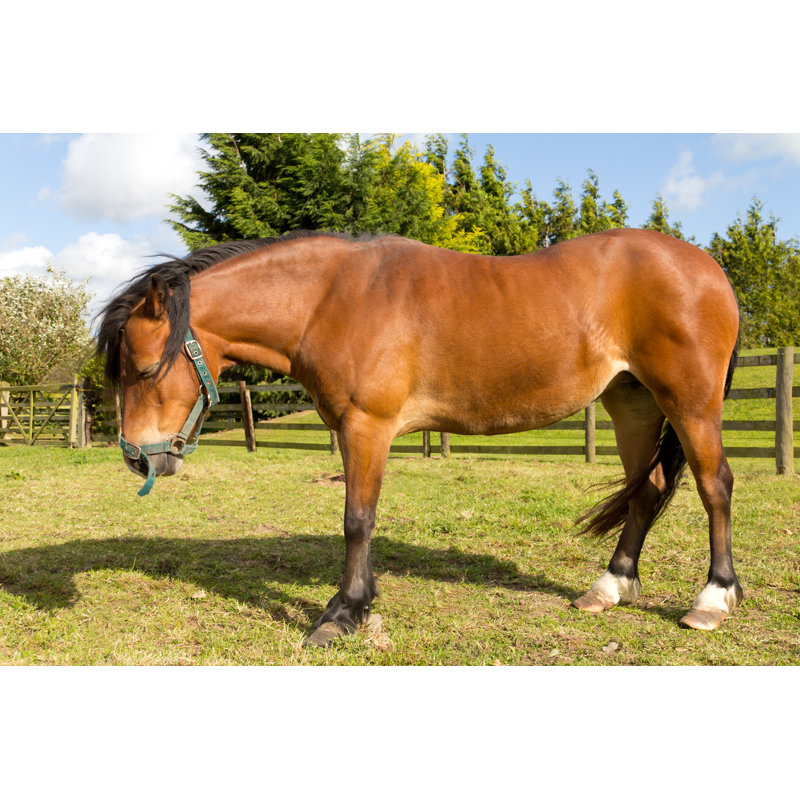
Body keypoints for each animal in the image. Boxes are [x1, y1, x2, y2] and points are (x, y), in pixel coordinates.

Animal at [97, 228, 742, 646]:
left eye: (145, 368)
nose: (136, 459)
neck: (331, 300)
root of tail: (708, 267)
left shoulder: (368, 427)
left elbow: (357, 521)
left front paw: (343, 613)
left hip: (690, 402)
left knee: (715, 485)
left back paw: (711, 599)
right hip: (631, 402)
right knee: (647, 490)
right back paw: (609, 587)